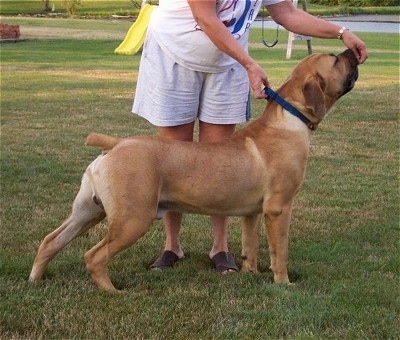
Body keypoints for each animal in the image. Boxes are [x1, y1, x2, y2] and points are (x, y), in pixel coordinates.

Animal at [28, 49, 360, 290]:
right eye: (335, 60)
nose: (352, 51)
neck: (289, 119)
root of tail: (117, 144)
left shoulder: (253, 213)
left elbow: (251, 246)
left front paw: (249, 274)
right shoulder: (279, 209)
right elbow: (280, 252)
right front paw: (283, 284)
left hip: (88, 211)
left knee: (51, 241)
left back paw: (36, 279)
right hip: (132, 218)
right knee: (94, 256)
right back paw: (112, 290)